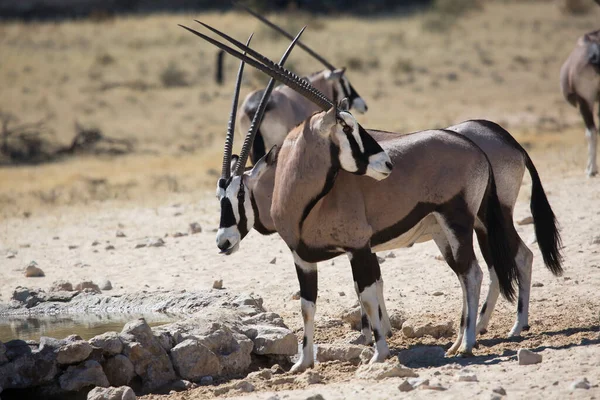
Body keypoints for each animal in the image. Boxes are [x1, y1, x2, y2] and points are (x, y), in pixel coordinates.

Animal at [182, 22, 520, 372]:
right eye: (221, 195)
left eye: (239, 193)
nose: (223, 241)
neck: (300, 200)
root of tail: (475, 147)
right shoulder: (304, 259)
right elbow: (308, 306)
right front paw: (303, 362)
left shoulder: (358, 248)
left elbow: (367, 297)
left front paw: (379, 353)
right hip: (445, 231)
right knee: (468, 274)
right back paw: (457, 342)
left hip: (459, 221)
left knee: (474, 273)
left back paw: (467, 343)